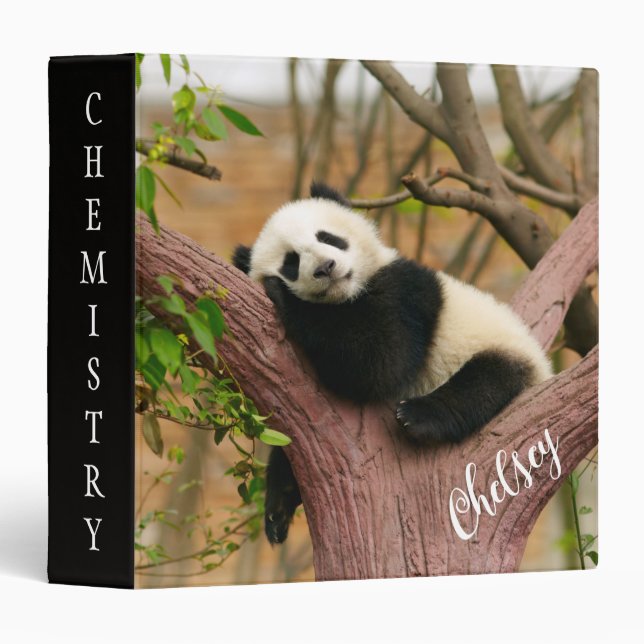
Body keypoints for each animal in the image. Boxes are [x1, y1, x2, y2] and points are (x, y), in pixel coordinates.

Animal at [232, 181, 552, 544]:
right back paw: (280, 504)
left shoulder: (407, 291)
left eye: (328, 237)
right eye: (291, 261)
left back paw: (419, 416)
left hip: (502, 349)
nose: (325, 267)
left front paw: (284, 297)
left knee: (485, 382)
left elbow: (381, 362)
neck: (348, 296)